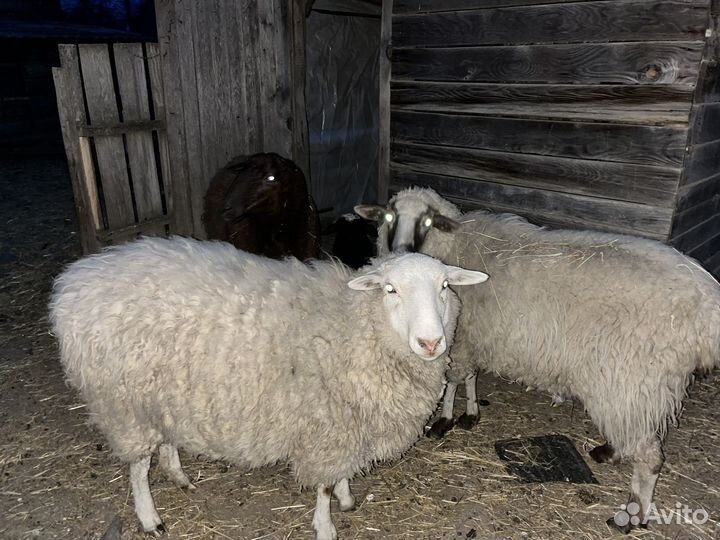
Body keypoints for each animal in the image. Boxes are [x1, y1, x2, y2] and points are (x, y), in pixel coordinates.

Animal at [48, 236, 487, 539]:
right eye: (390, 290)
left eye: (445, 286)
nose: (431, 343)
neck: (353, 323)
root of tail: (76, 279)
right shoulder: (326, 428)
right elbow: (322, 486)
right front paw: (326, 525)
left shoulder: (347, 424)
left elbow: (341, 474)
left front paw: (347, 497)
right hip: (124, 404)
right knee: (138, 468)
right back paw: (149, 517)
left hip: (163, 394)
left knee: (166, 438)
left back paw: (178, 475)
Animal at [357, 187, 720, 531]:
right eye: (388, 216)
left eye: (428, 221)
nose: (403, 250)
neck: (455, 244)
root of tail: (707, 302)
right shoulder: (472, 337)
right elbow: (471, 377)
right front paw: (470, 414)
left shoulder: (456, 338)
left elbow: (452, 380)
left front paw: (444, 421)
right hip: (632, 387)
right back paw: (610, 452)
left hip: (633, 378)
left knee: (649, 457)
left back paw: (632, 514)